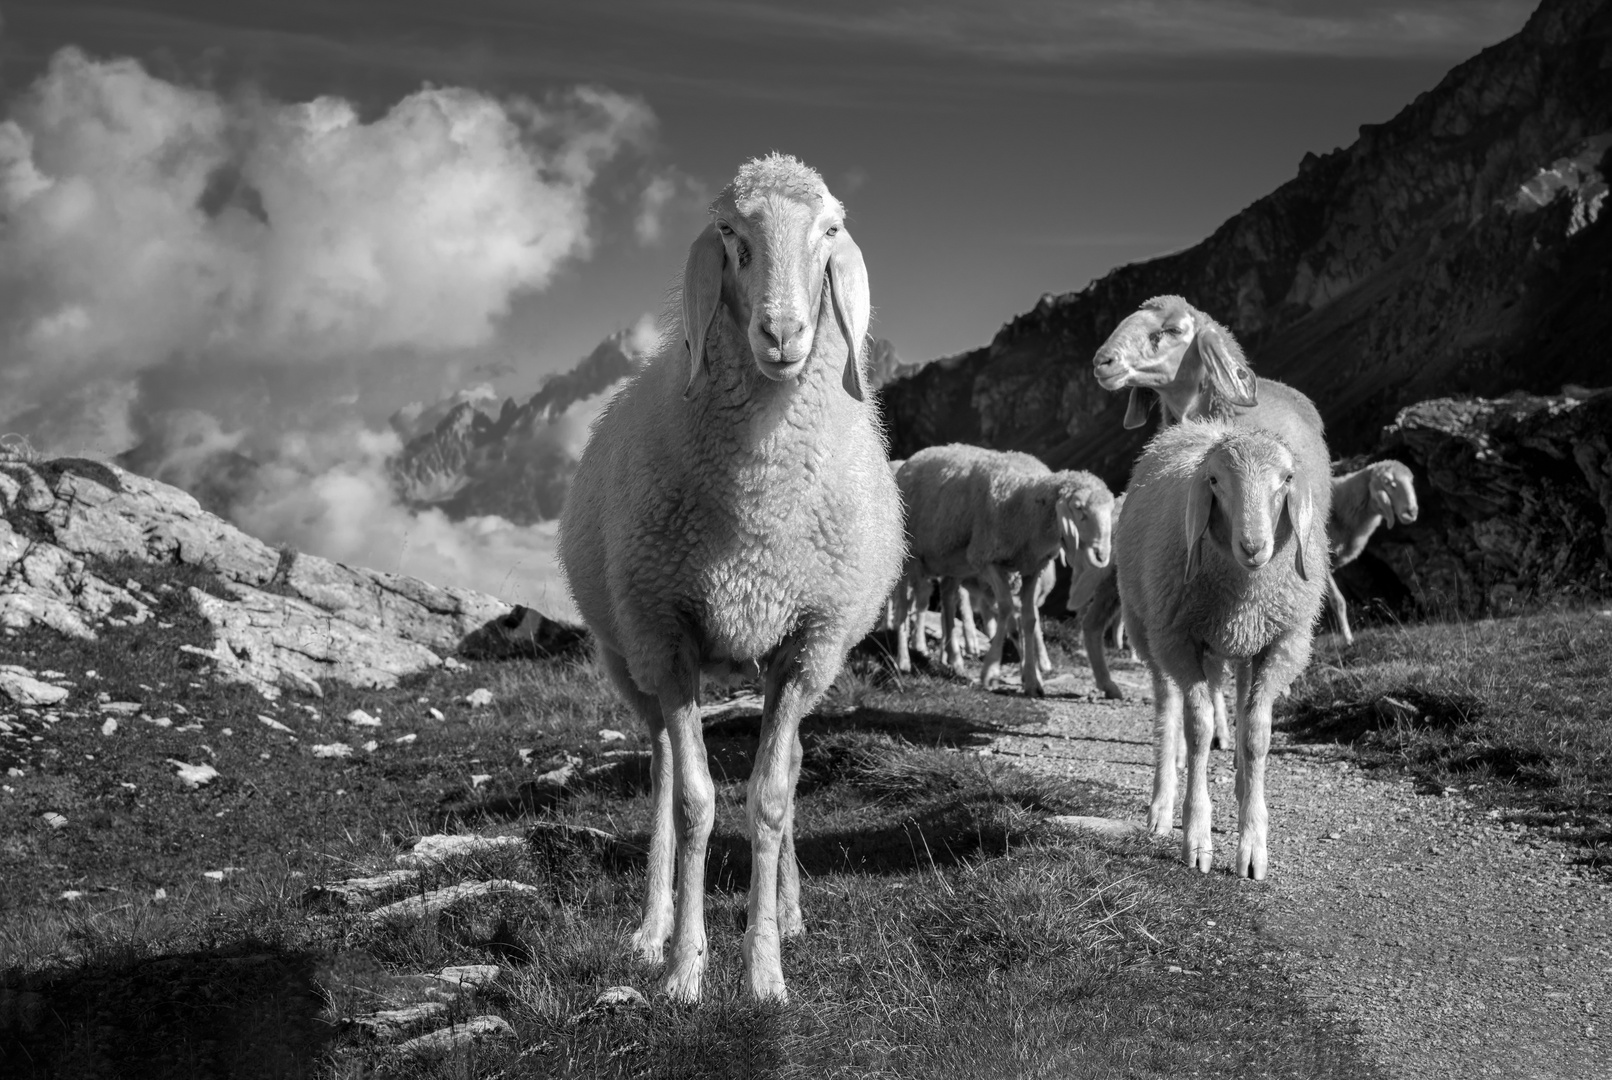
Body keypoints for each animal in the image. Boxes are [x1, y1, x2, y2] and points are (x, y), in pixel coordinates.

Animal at [557, 154, 909, 1005]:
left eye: (830, 231)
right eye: (730, 234)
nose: (782, 334)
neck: (759, 499)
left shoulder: (807, 644)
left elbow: (772, 799)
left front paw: (765, 972)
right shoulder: (668, 635)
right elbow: (694, 803)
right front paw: (686, 971)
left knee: (793, 765)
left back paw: (790, 912)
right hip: (629, 660)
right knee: (658, 771)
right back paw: (651, 929)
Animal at [889, 444, 1115, 699]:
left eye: (1110, 511)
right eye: (1078, 509)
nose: (1102, 556)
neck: (1029, 502)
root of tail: (914, 458)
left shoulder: (1031, 568)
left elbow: (1029, 618)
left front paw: (1033, 680)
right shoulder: (987, 559)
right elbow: (1006, 608)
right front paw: (990, 671)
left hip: (954, 563)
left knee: (947, 598)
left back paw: (954, 660)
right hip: (908, 555)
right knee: (903, 604)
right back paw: (904, 660)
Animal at [1115, 419, 1328, 883]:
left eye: (1287, 479)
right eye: (1214, 480)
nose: (1253, 546)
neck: (1244, 591)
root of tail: (1201, 425)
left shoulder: (1283, 644)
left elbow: (1256, 735)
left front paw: (1253, 843)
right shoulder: (1179, 639)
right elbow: (1197, 729)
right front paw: (1197, 839)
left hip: (1242, 644)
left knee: (1238, 703)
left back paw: (1243, 783)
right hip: (1149, 629)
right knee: (1168, 708)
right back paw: (1161, 806)